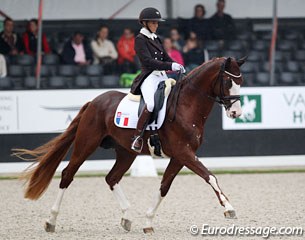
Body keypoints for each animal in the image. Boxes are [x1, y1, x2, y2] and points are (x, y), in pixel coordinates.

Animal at [13, 56, 245, 232]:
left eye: (241, 81)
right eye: (227, 82)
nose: (236, 113)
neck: (186, 106)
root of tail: (94, 102)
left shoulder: (180, 157)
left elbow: (164, 186)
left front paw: (148, 222)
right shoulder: (184, 152)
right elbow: (210, 177)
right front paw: (229, 208)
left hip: (126, 152)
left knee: (111, 178)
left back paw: (126, 218)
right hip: (86, 144)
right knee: (67, 174)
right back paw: (51, 221)